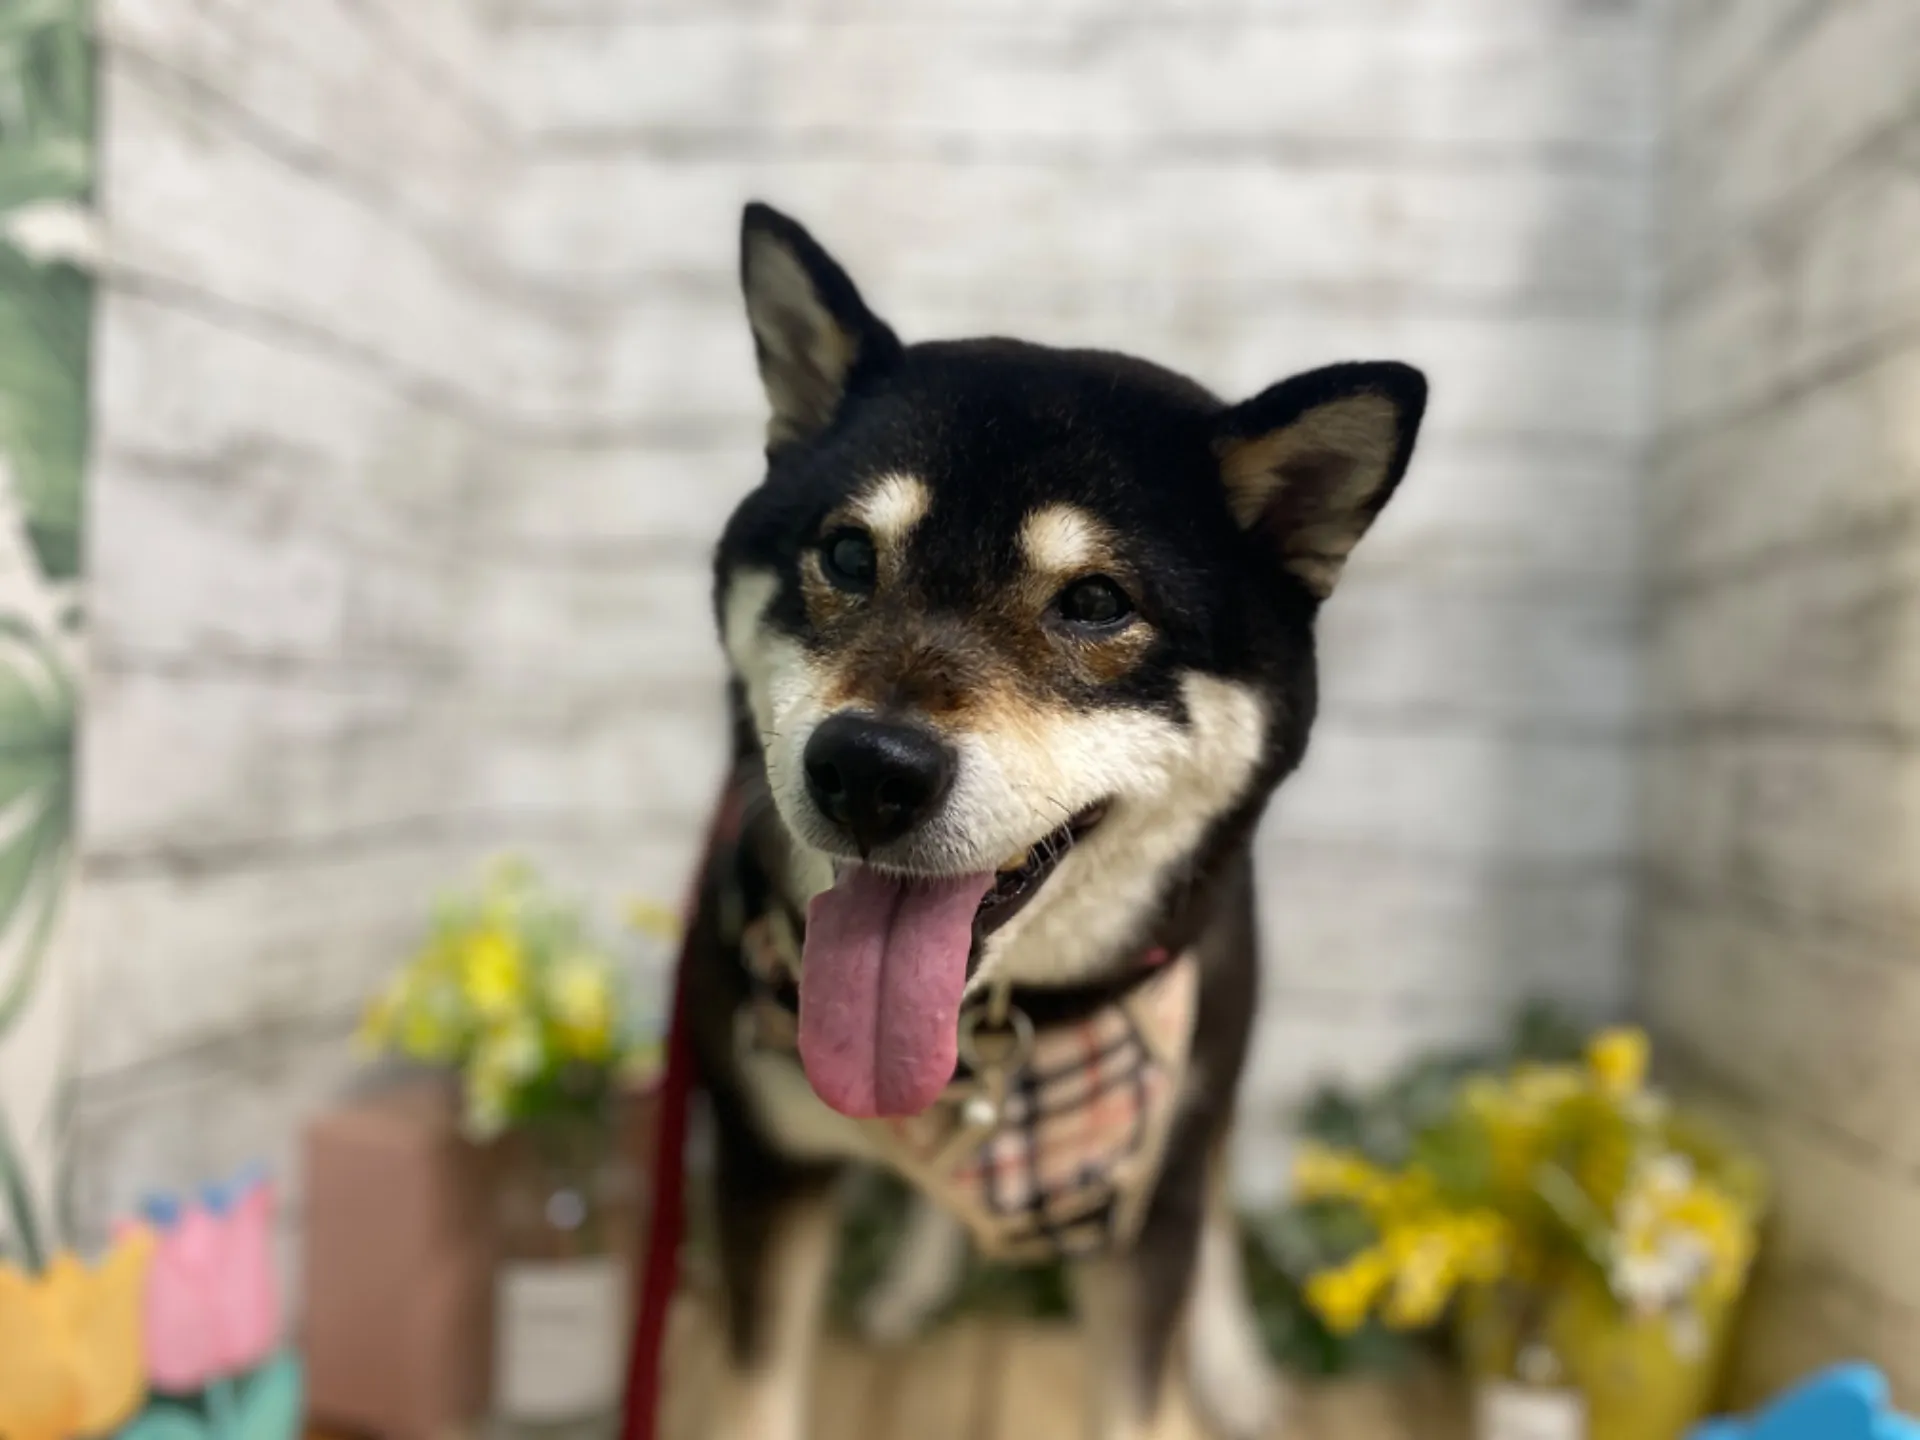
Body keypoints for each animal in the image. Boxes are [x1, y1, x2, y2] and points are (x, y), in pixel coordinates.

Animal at [684, 202, 1427, 1440]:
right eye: (847, 553)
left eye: (1094, 603)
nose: (868, 770)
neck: (1000, 1037)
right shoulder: (761, 1161)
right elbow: (752, 1396)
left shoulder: (1143, 1207)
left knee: (1215, 1183)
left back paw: (1233, 1363)